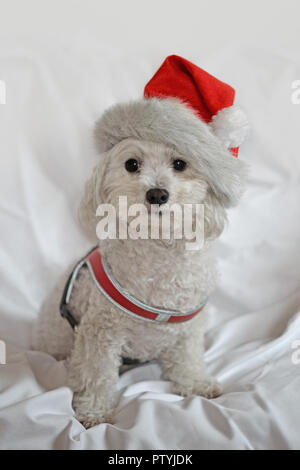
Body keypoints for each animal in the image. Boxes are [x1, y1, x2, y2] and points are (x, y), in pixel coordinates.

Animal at [32, 57, 248, 428]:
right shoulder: (99, 333)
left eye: (180, 164)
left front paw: (196, 384)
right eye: (131, 164)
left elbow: (188, 359)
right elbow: (97, 373)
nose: (157, 194)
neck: (158, 248)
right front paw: (94, 412)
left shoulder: (188, 330)